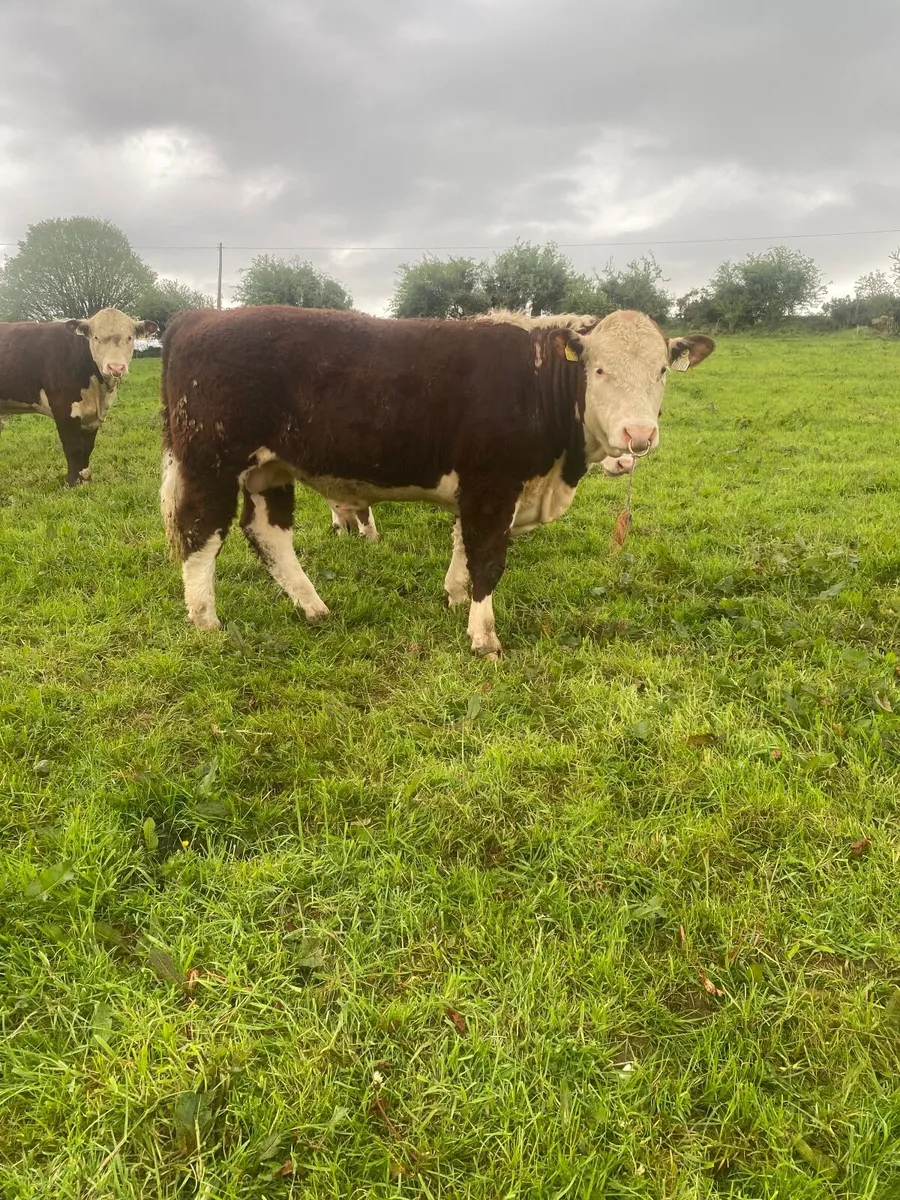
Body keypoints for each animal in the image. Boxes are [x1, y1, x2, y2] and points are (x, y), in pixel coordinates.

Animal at [0, 308, 158, 486]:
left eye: (130, 337)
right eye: (96, 337)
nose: (116, 367)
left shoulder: (92, 417)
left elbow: (87, 447)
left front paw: (86, 479)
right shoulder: (64, 409)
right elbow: (73, 448)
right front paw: (72, 483)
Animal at [160, 305, 714, 657]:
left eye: (662, 370)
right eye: (598, 370)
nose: (638, 434)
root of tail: (201, 315)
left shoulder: (481, 490)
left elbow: (462, 545)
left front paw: (455, 595)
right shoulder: (493, 485)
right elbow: (487, 558)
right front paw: (484, 636)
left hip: (269, 469)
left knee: (268, 534)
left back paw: (313, 607)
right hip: (211, 461)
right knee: (199, 533)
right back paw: (206, 621)